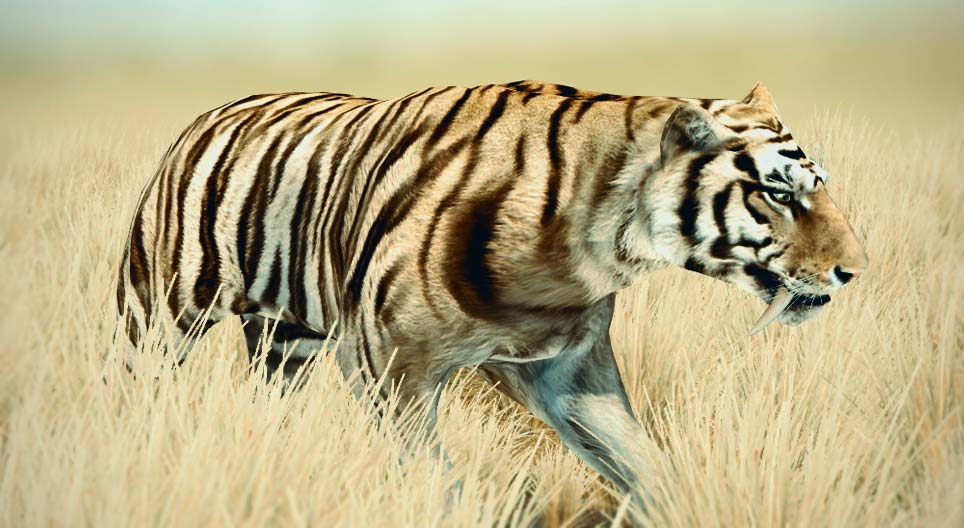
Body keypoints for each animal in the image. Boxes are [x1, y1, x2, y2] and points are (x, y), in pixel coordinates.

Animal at [116, 79, 868, 504]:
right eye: (777, 194)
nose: (855, 270)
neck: (598, 239)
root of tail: (213, 112)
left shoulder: (571, 371)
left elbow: (640, 461)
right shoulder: (387, 365)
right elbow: (433, 476)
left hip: (286, 342)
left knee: (269, 400)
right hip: (159, 317)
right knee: (135, 383)